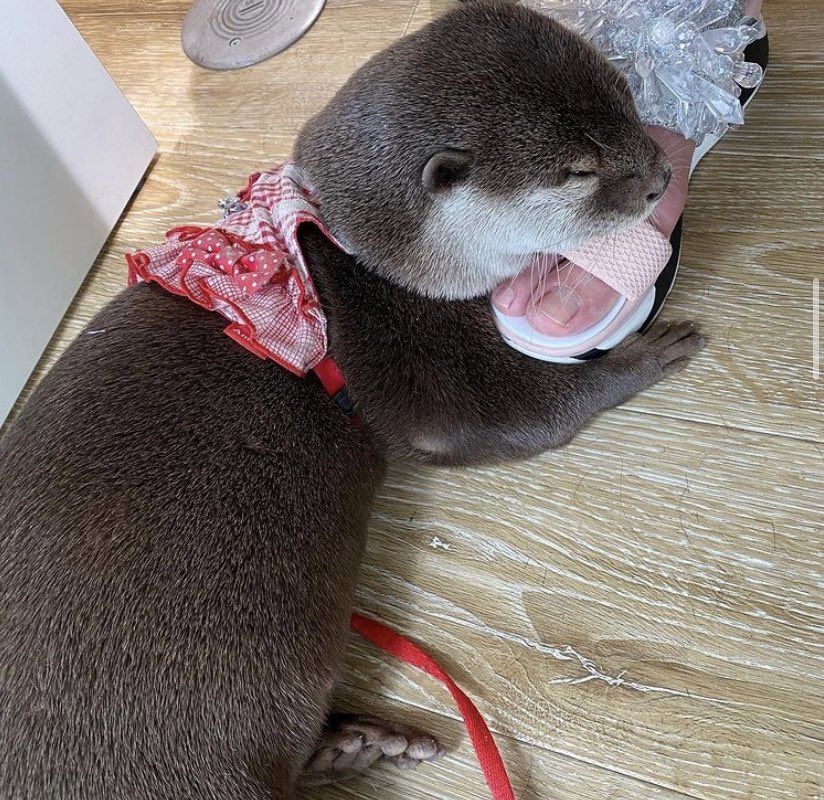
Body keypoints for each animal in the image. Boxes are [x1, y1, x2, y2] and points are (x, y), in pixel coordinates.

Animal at [0, 2, 702, 798]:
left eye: (628, 98)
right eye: (578, 170)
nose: (663, 174)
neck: (349, 258)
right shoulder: (399, 347)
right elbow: (513, 415)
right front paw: (648, 352)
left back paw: (367, 741)